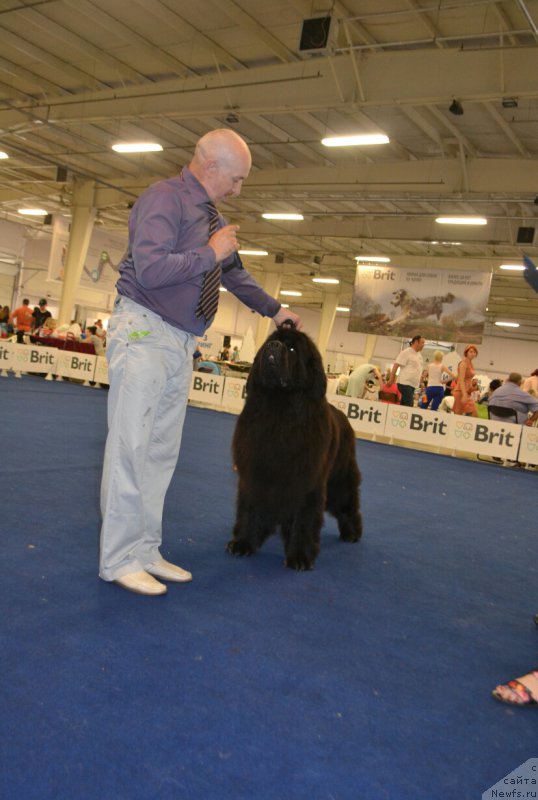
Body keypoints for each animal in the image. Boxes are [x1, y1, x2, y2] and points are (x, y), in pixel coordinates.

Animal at [224, 324, 362, 568]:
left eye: (291, 348)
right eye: (271, 341)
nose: (273, 345)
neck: (279, 406)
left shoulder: (306, 479)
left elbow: (303, 519)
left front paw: (300, 557)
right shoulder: (255, 471)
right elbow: (249, 509)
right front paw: (243, 543)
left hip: (340, 477)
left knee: (347, 503)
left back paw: (352, 533)